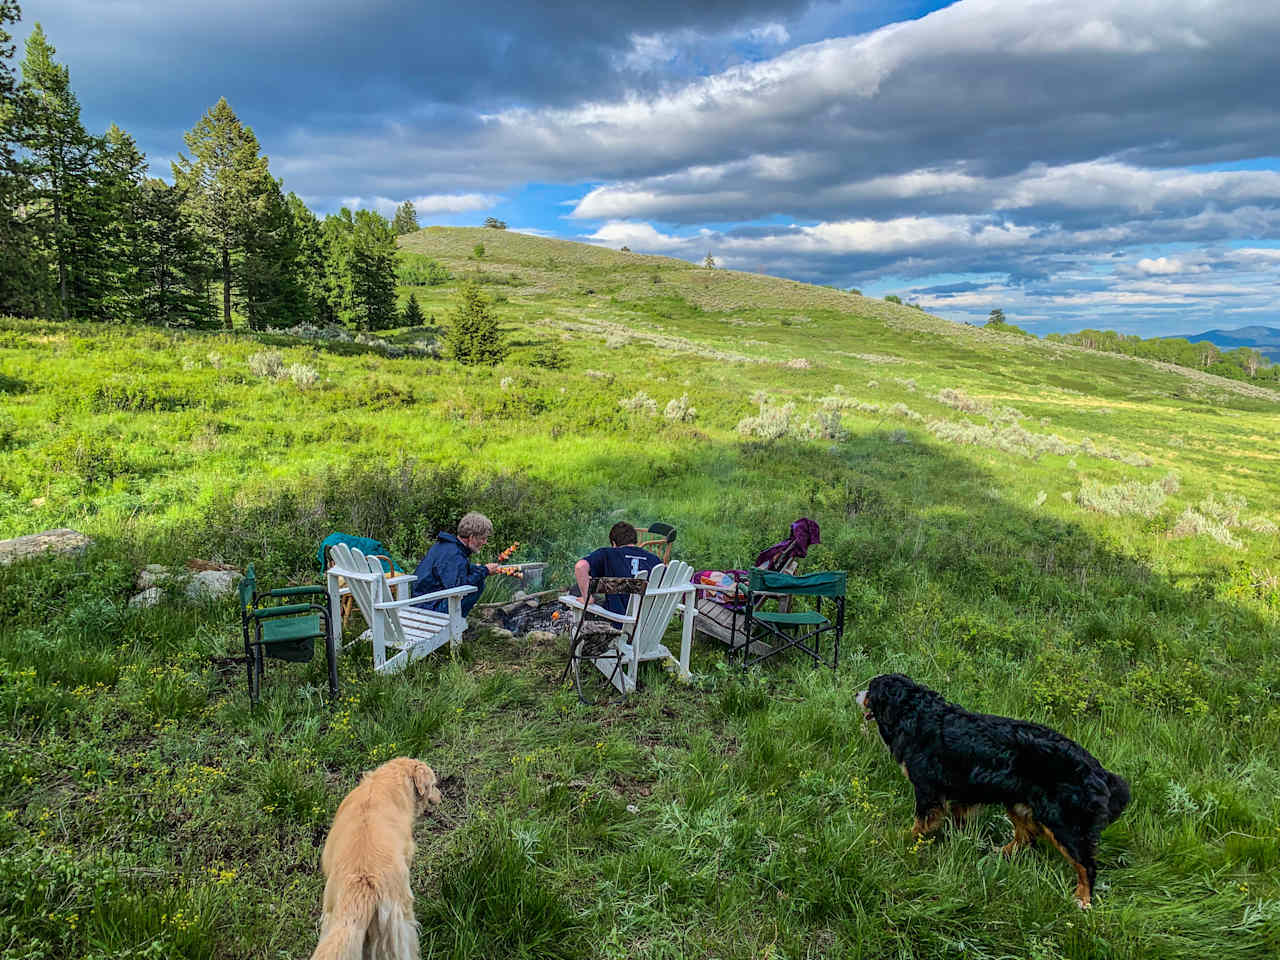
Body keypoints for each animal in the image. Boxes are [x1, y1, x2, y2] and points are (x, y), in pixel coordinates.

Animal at [855, 670, 1126, 906]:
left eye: (871, 688)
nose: (856, 693)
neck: (915, 713)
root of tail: (1099, 771)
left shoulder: (927, 789)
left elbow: (921, 823)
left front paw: (905, 840)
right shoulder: (962, 795)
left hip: (1062, 822)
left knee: (1085, 865)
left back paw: (1083, 899)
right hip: (1018, 802)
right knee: (1026, 837)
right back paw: (999, 853)